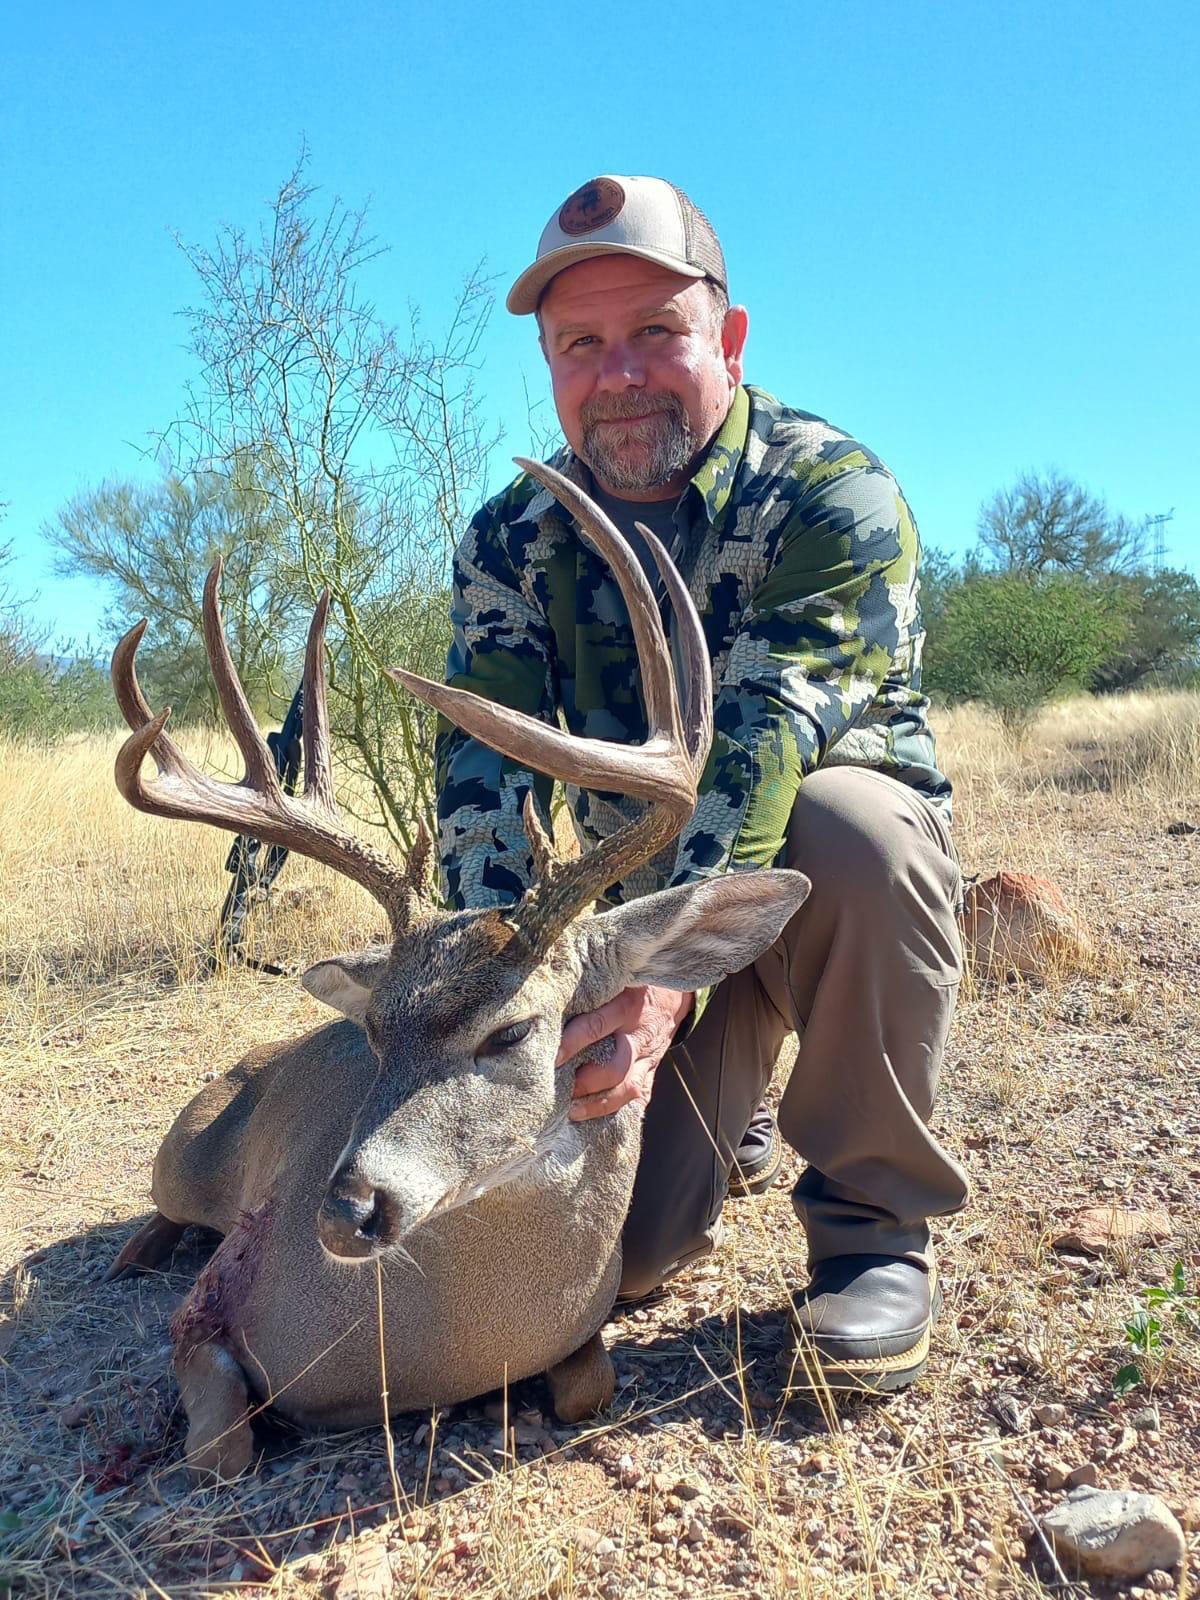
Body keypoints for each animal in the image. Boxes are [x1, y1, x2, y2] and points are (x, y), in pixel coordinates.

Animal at [105, 459, 811, 1478]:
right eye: (372, 1033)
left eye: (510, 1032)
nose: (346, 1209)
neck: (428, 1351)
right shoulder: (212, 1303)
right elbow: (222, 1450)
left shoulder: (582, 1337)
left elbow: (590, 1384)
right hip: (184, 1150)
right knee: (165, 1204)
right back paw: (135, 1250)